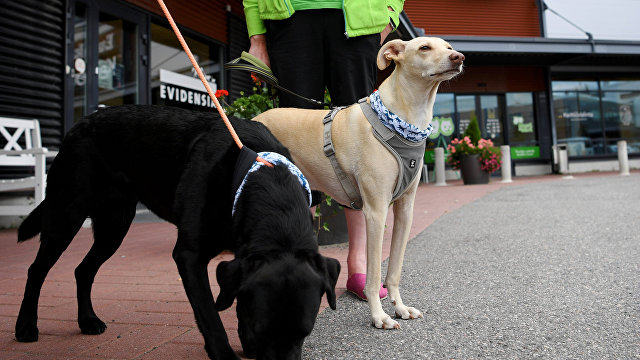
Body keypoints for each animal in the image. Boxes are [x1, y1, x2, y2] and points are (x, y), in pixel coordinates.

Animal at [15, 105, 340, 360]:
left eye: (305, 332)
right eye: (263, 330)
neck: (258, 171)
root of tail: (78, 125)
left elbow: (236, 300)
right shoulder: (189, 255)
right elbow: (210, 315)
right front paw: (227, 353)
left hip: (114, 226)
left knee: (83, 270)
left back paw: (88, 320)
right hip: (66, 214)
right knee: (36, 269)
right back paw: (26, 326)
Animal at [255, 37, 464, 330]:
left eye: (448, 47)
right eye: (424, 48)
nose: (459, 58)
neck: (403, 120)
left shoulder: (405, 211)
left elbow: (394, 269)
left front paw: (400, 308)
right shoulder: (376, 212)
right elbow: (374, 274)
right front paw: (379, 316)